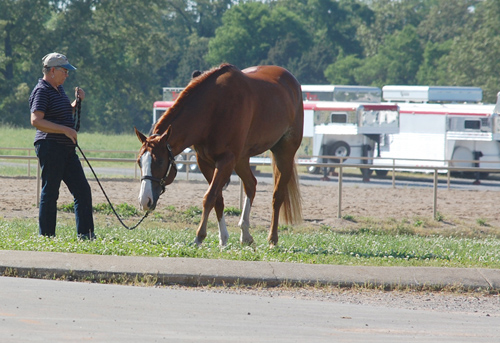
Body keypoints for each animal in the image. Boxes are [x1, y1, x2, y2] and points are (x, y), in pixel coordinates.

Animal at [135, 63, 302, 247]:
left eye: (159, 161)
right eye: (139, 162)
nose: (145, 201)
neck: (213, 108)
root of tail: (291, 82)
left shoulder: (225, 161)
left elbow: (209, 197)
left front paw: (199, 237)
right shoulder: (205, 162)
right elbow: (218, 199)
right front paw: (223, 239)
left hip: (284, 153)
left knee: (277, 195)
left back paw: (272, 239)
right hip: (241, 159)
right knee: (251, 185)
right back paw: (245, 234)